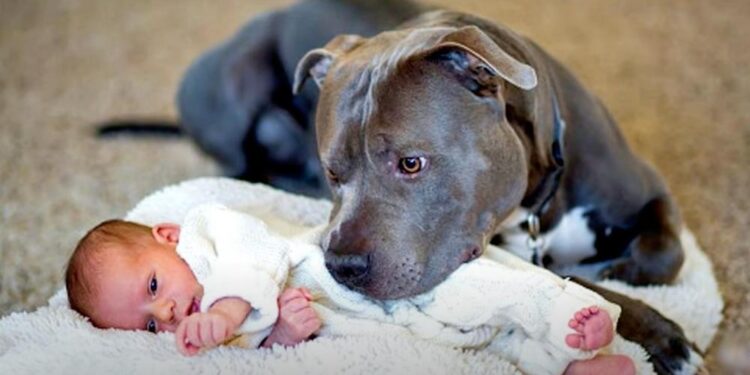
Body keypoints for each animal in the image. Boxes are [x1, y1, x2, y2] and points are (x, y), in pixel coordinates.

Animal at [294, 7, 700, 374]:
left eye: (411, 163)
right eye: (333, 172)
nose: (341, 266)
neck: (539, 205)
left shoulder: (652, 191)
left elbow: (664, 253)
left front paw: (619, 273)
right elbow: (579, 285)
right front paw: (660, 334)